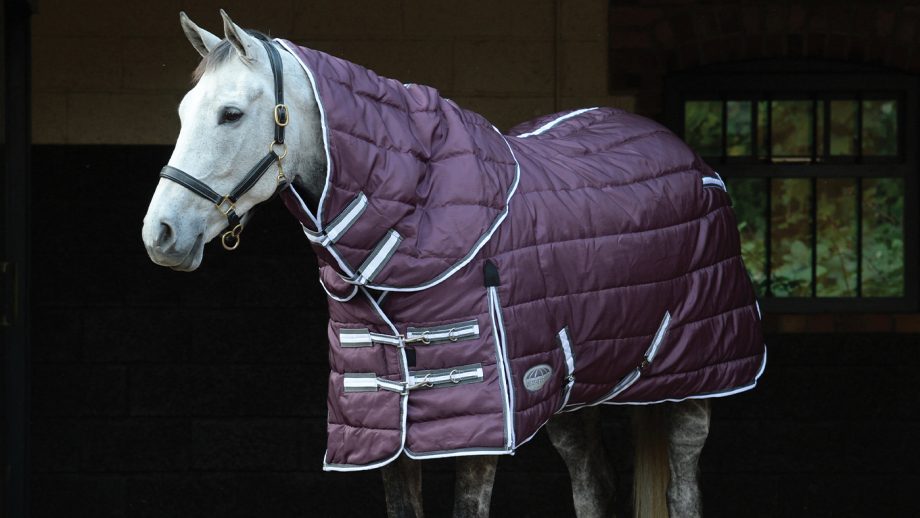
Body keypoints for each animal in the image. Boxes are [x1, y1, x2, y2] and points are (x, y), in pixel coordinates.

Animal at [143, 11, 764, 517]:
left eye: (230, 114)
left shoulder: (479, 428)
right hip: (575, 387)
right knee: (594, 485)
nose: (161, 234)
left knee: (682, 488)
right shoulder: (386, 424)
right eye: (182, 112)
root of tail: (690, 160)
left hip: (694, 384)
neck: (418, 219)